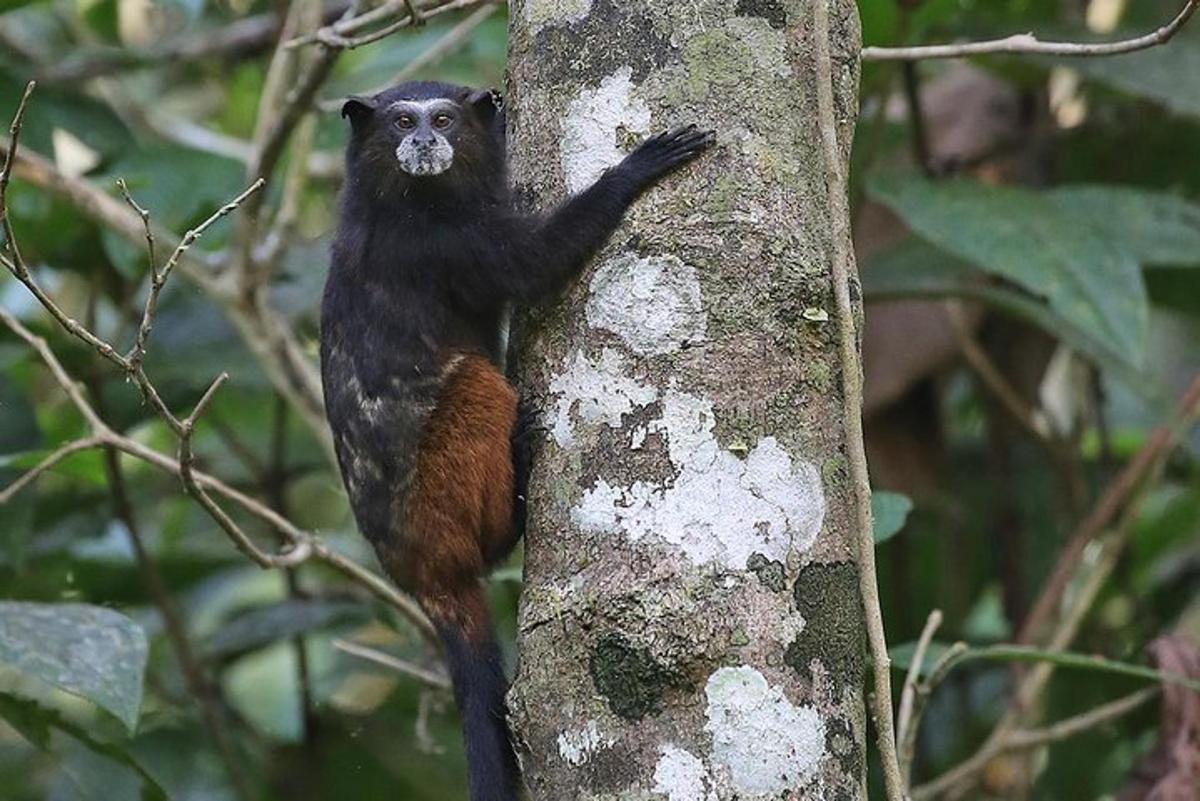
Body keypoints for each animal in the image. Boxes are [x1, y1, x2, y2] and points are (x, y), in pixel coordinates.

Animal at [319, 82, 710, 801]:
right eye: (401, 122)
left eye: (443, 119)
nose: (424, 142)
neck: (403, 197)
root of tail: (421, 572)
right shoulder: (442, 242)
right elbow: (532, 266)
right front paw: (634, 171)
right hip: (441, 484)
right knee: (477, 385)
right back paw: (519, 485)